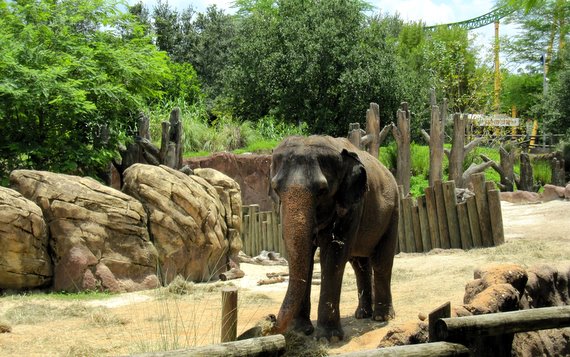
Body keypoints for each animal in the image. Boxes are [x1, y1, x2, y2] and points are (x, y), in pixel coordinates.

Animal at [268, 135, 398, 340]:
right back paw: (362, 314)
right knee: (359, 264)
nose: (271, 319)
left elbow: (333, 255)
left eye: (322, 190)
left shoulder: (352, 206)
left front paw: (329, 338)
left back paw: (381, 317)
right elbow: (302, 256)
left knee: (381, 260)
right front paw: (300, 331)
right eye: (276, 189)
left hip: (393, 212)